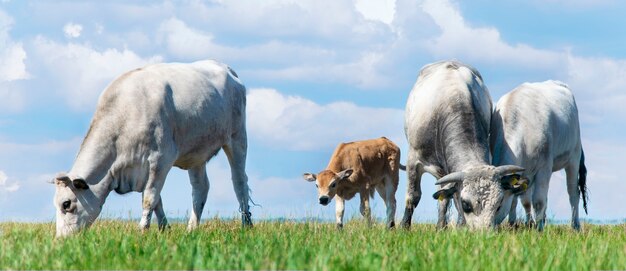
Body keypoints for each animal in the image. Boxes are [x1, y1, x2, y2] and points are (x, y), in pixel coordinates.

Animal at [51, 60, 251, 238]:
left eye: (66, 204)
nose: (61, 240)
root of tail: (225, 67)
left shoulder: (160, 160)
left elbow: (150, 198)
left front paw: (142, 231)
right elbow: (157, 201)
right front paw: (164, 229)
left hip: (237, 138)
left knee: (239, 182)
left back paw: (246, 224)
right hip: (196, 152)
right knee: (200, 188)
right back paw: (192, 229)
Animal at [400, 60, 520, 231]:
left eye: (498, 205)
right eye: (467, 204)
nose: (485, 233)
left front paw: (460, 227)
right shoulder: (413, 160)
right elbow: (413, 196)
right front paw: (402, 227)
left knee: (443, 198)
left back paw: (441, 226)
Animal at [490, 81, 588, 232]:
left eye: (498, 206)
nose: (485, 229)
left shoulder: (544, 167)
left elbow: (538, 201)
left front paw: (538, 229)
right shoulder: (524, 173)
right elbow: (522, 201)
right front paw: (520, 224)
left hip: (573, 158)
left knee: (573, 193)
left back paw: (575, 225)